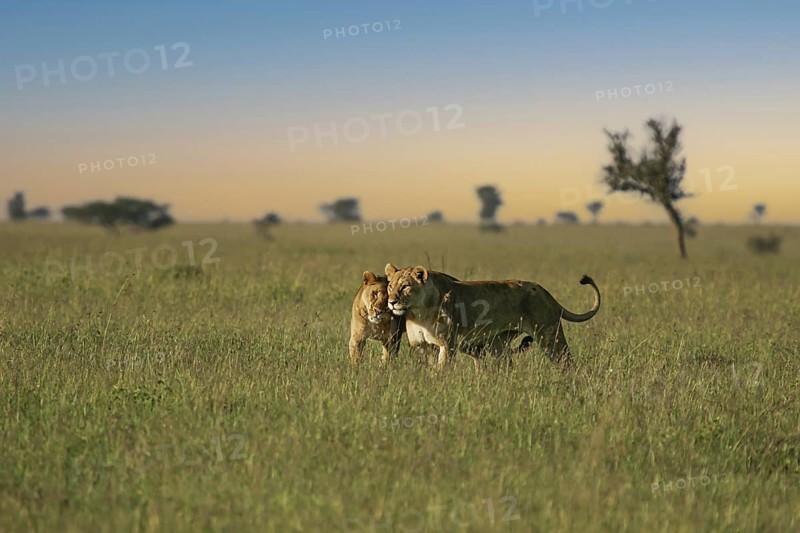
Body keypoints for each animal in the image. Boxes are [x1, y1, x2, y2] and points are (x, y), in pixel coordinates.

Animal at [384, 264, 601, 369]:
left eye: (405, 287)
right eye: (390, 286)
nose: (392, 301)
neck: (419, 311)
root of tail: (544, 291)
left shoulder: (447, 344)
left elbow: (441, 370)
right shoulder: (420, 346)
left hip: (549, 337)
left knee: (569, 363)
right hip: (499, 345)